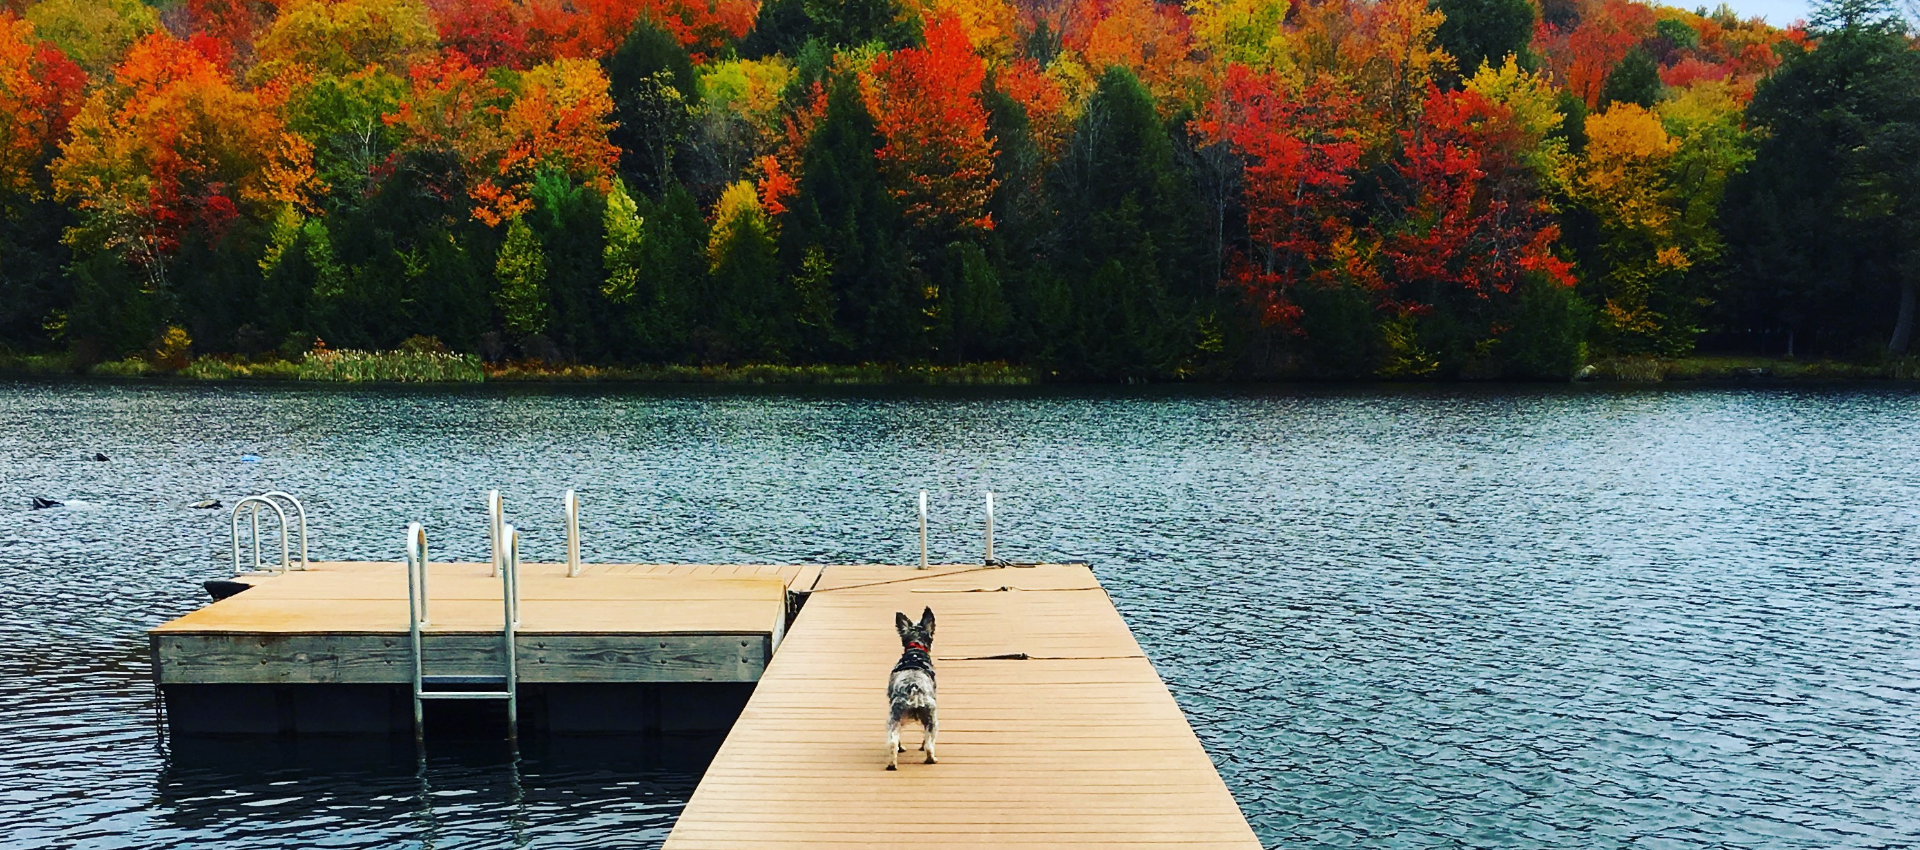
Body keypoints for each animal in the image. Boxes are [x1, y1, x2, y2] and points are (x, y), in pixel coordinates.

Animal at [887, 606, 940, 771]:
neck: (915, 650)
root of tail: (914, 689)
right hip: (931, 718)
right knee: (928, 744)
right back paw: (931, 759)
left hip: (896, 717)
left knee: (894, 741)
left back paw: (893, 763)